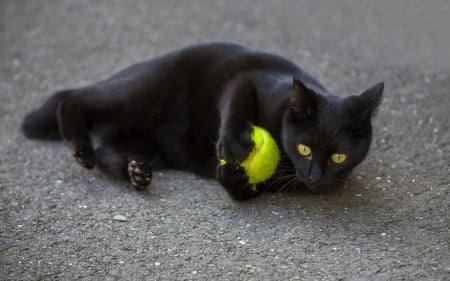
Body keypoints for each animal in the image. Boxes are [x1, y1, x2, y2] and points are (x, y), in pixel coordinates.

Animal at [22, 42, 384, 199]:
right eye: (304, 149)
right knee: (75, 100)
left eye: (338, 157)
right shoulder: (249, 79)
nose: (314, 177)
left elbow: (245, 191)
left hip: (149, 145)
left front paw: (234, 176)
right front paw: (234, 146)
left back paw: (135, 172)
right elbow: (236, 104)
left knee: (109, 152)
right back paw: (81, 149)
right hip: (138, 94)